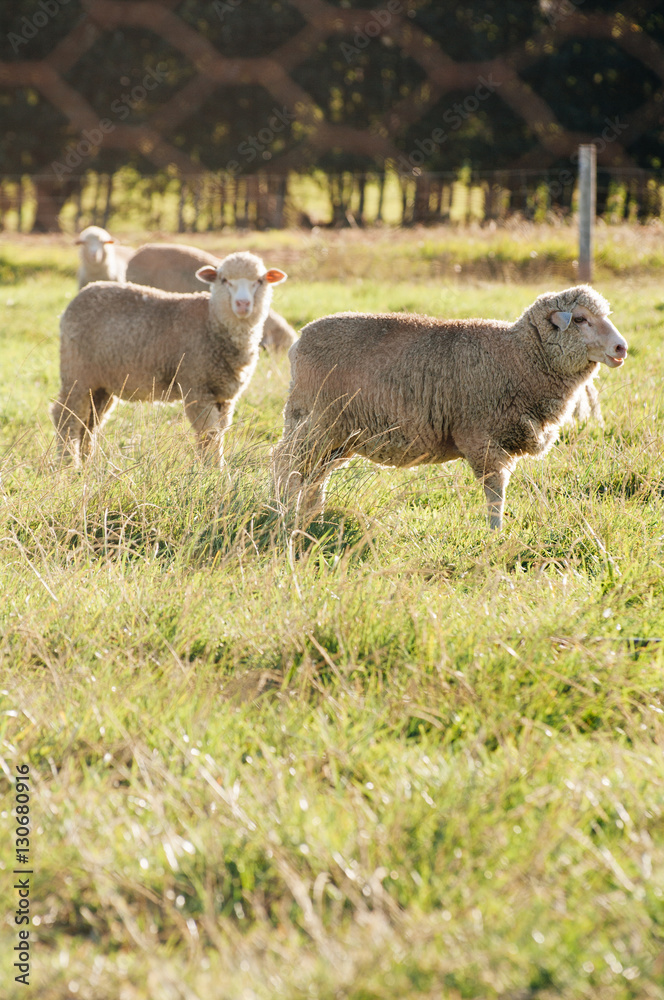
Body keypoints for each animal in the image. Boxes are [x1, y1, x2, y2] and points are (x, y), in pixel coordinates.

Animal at [51, 251, 287, 467]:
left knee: (89, 422)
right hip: (77, 371)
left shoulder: (224, 395)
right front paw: (211, 470)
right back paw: (68, 464)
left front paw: (218, 467)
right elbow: (208, 433)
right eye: (224, 280)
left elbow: (219, 434)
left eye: (259, 281)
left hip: (101, 383)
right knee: (66, 416)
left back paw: (86, 464)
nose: (242, 304)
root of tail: (84, 292)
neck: (212, 322)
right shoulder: (196, 387)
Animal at [272, 285, 627, 531]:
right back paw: (284, 514)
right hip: (315, 420)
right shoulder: (482, 438)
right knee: (285, 463)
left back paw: (312, 518)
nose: (621, 348)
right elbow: (495, 493)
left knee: (313, 477)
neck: (518, 356)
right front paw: (496, 534)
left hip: (337, 434)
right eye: (580, 319)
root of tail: (298, 341)